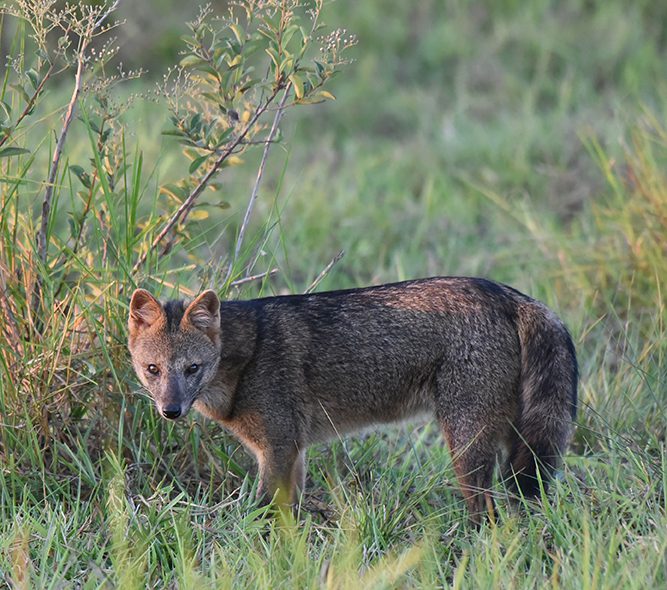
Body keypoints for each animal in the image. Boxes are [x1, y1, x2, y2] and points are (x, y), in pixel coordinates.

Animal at [127, 276, 577, 523]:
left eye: (192, 369)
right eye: (153, 370)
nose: (170, 411)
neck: (247, 354)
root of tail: (506, 293)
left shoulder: (277, 448)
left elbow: (259, 512)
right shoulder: (293, 453)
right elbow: (288, 515)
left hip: (466, 450)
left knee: (487, 516)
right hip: (510, 445)